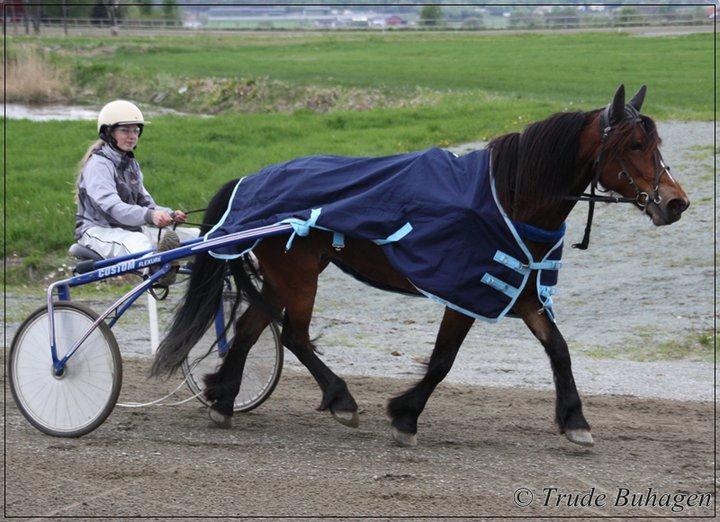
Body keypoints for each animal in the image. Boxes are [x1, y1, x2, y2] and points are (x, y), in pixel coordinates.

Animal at [150, 86, 688, 446]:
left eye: (655, 143)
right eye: (634, 145)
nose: (676, 202)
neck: (509, 196)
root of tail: (250, 177)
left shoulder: (518, 288)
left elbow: (559, 349)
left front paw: (575, 420)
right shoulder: (466, 289)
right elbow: (444, 359)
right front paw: (405, 416)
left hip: (288, 275)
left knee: (249, 328)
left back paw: (223, 399)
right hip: (297, 274)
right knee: (296, 335)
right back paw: (340, 399)